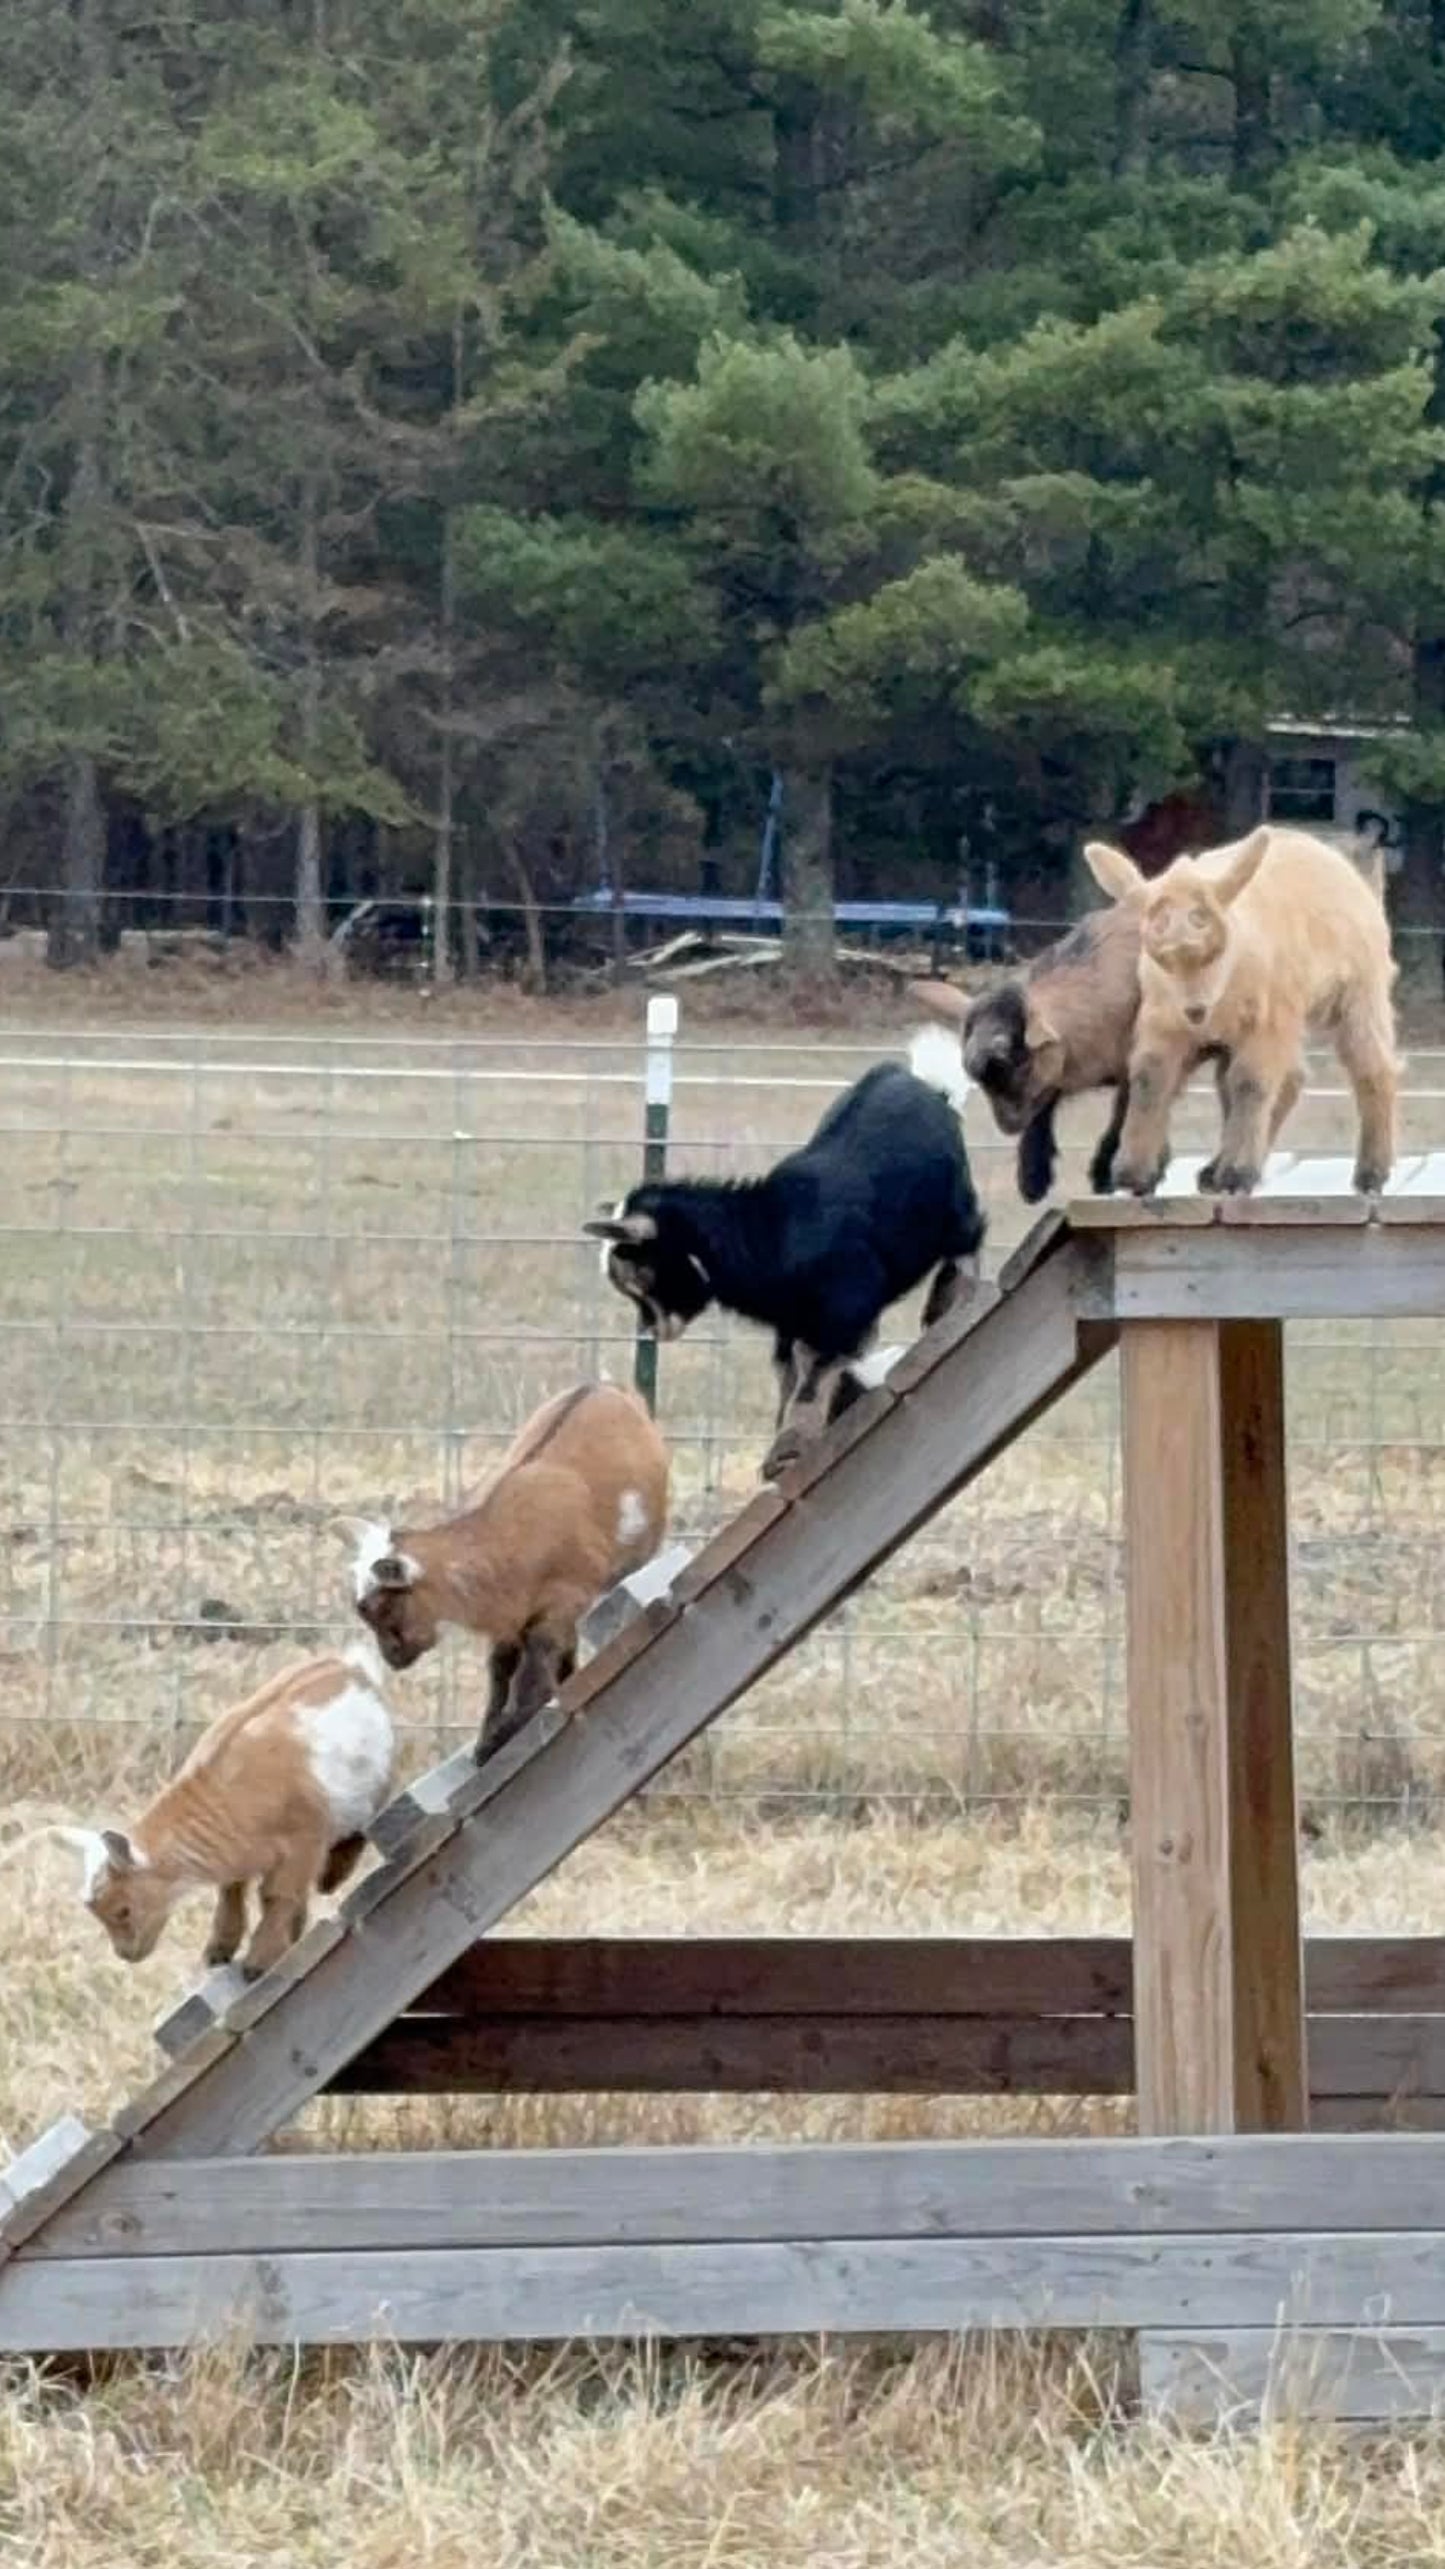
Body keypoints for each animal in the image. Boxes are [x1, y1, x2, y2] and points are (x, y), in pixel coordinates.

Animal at [43, 1641, 395, 1979]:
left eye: (123, 1910)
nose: (127, 1955)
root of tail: (349, 1665)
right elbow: (232, 1891)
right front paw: (219, 1949)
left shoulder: (303, 1840)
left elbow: (277, 1896)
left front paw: (260, 1960)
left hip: (371, 1788)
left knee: (360, 1827)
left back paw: (331, 1877)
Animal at [348, 1381, 669, 1763]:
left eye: (382, 1606)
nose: (392, 1658)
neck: (507, 1540)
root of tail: (606, 1385)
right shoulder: (511, 1616)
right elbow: (501, 1666)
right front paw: (487, 1736)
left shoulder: (562, 1598)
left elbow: (535, 1668)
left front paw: (505, 1732)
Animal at [584, 1028, 985, 1480]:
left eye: (641, 1274)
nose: (654, 1332)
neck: (771, 1232)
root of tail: (930, 1086)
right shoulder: (790, 1324)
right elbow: (789, 1374)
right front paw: (779, 1451)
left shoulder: (843, 1310)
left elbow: (812, 1376)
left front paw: (791, 1446)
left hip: (955, 1208)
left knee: (969, 1241)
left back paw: (953, 1297)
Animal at [1084, 824, 1399, 1196]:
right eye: (1160, 955)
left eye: (1214, 950)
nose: (1195, 1010)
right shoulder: (1161, 1019)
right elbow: (1150, 1079)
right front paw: (1132, 1174)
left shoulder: (1267, 1019)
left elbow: (1250, 1083)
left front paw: (1237, 1174)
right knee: (1284, 1079)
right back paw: (1214, 1170)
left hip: (1359, 991)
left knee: (1372, 1067)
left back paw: (1372, 1173)